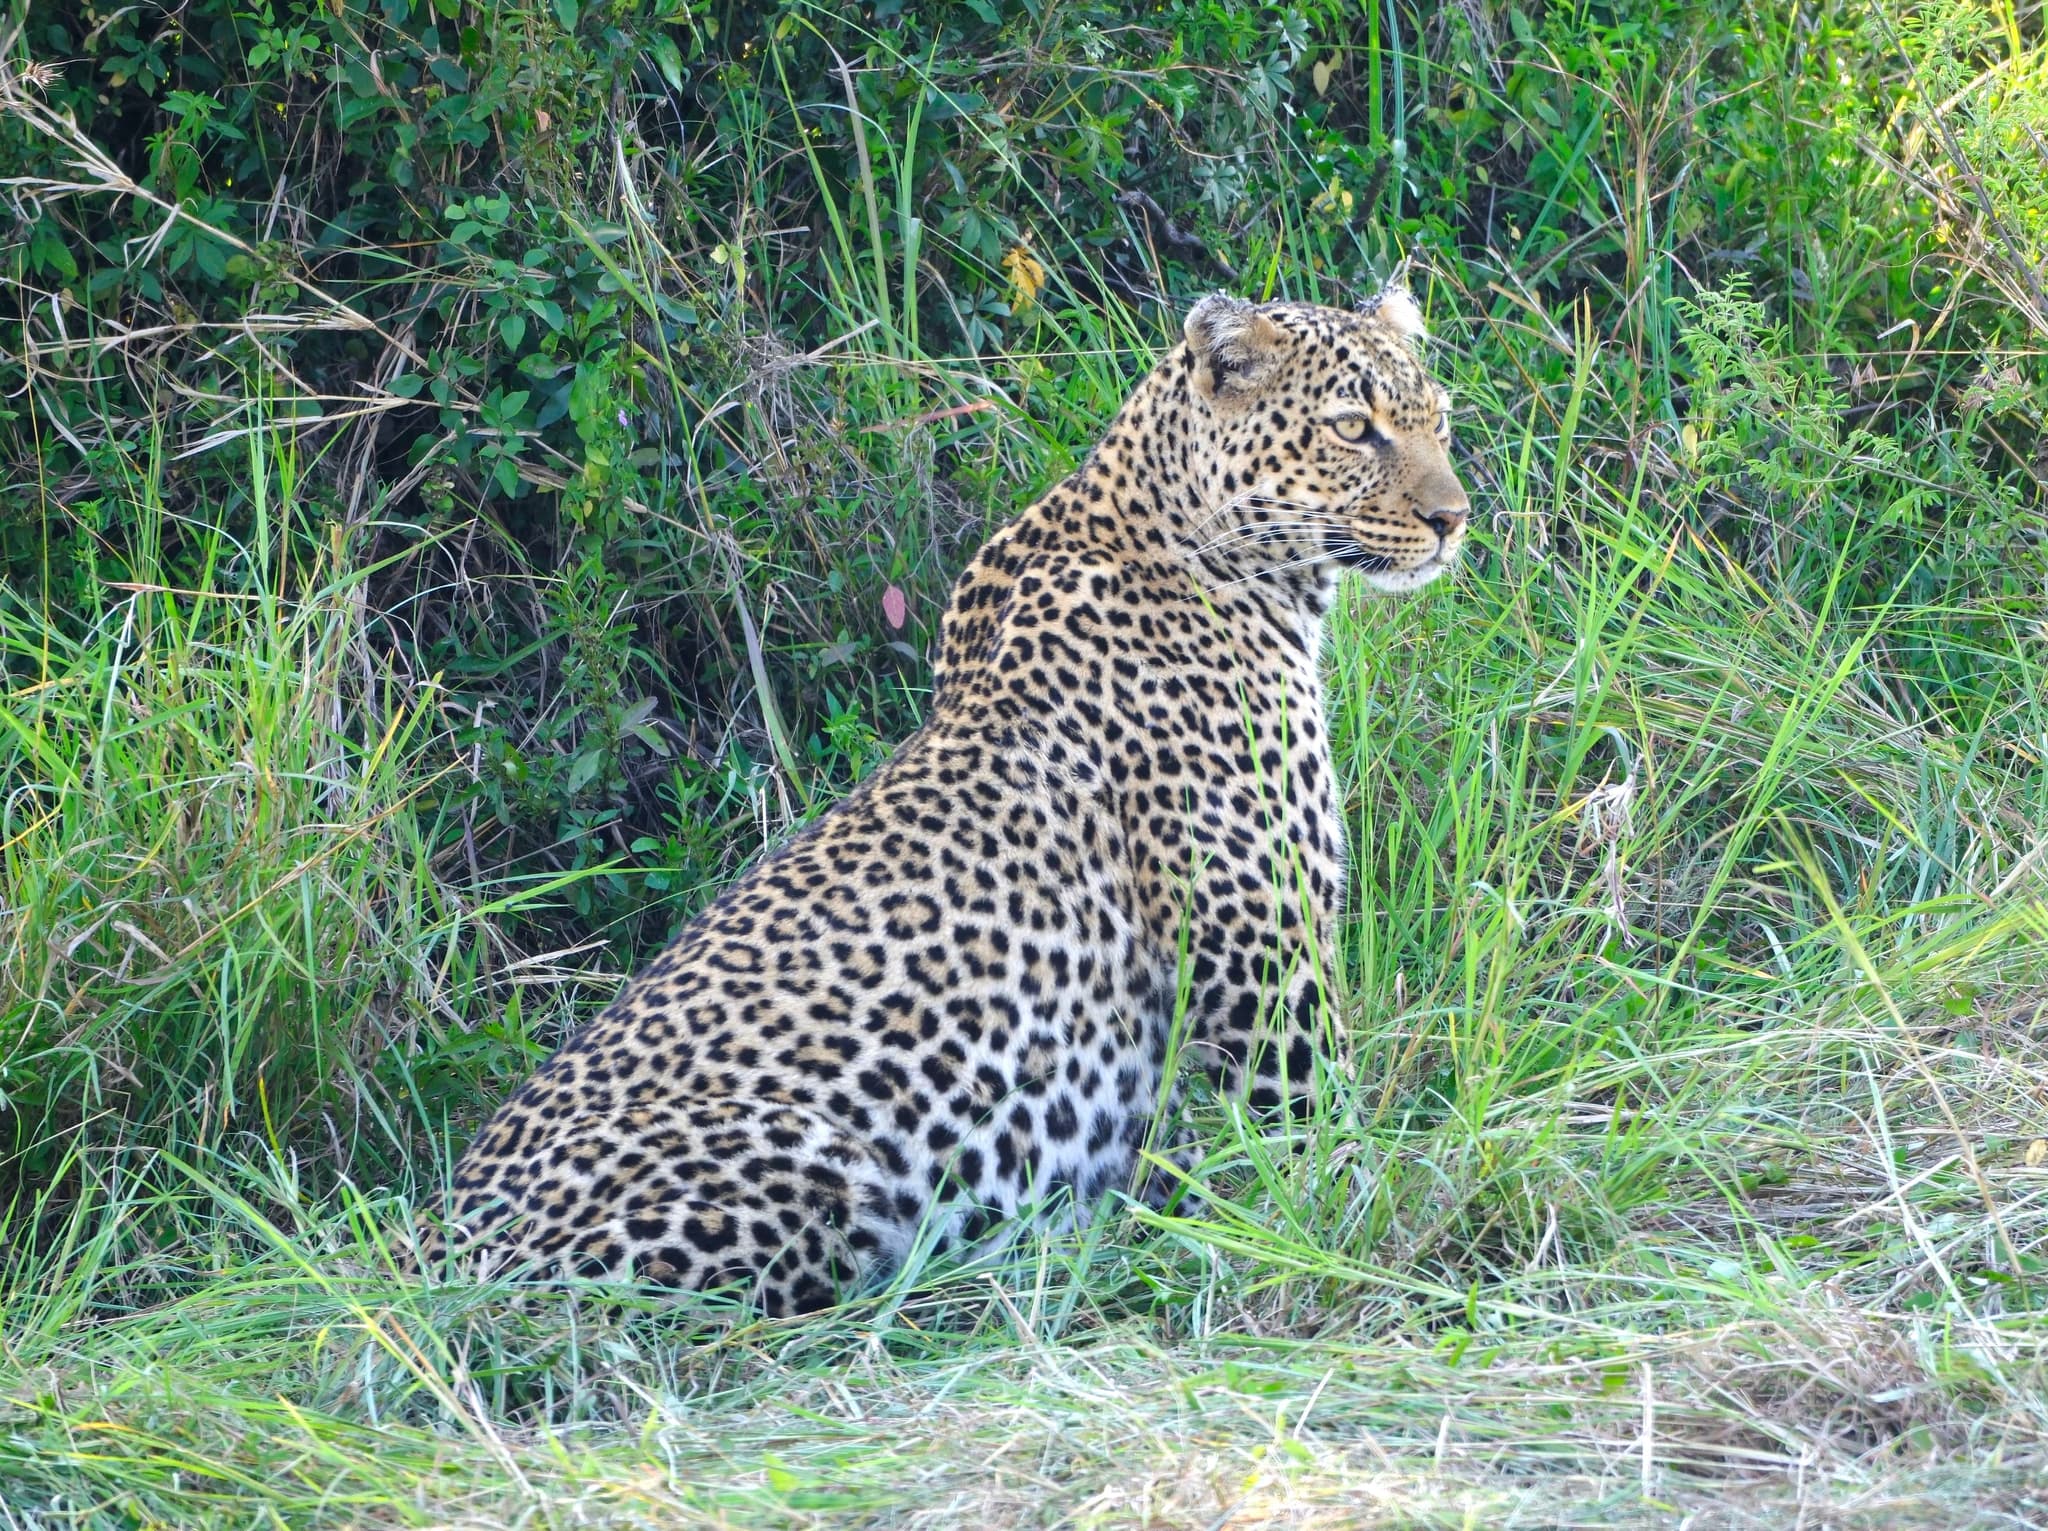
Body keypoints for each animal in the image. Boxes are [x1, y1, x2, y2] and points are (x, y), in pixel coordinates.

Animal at [428, 286, 1471, 1316]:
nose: (1455, 518)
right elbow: (1328, 1140)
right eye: (1353, 427)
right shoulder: (1262, 962)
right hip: (811, 1175)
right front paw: (1393, 1206)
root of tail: (425, 1251)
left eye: (1438, 419)